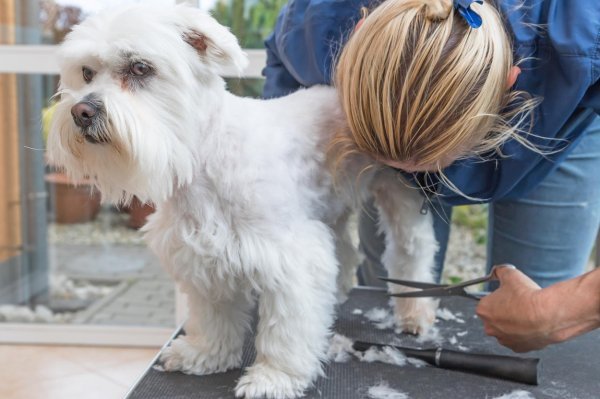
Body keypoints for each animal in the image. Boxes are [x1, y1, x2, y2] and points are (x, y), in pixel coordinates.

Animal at [47, 4, 438, 398]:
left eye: (140, 68)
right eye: (86, 72)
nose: (82, 112)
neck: (204, 161)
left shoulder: (290, 258)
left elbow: (287, 328)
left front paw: (275, 376)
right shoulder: (201, 257)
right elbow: (214, 317)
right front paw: (207, 354)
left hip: (401, 196)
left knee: (412, 252)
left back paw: (415, 314)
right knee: (345, 252)